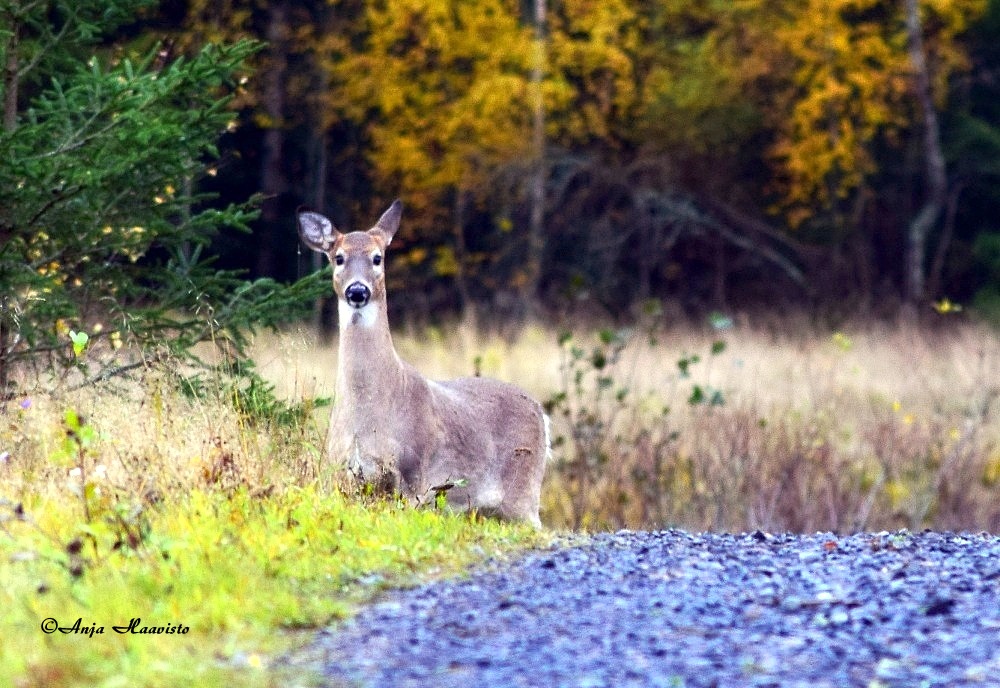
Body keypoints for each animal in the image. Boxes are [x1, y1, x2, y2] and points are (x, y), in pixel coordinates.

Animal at [297, 200, 548, 526]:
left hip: (523, 492)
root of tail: (541, 412)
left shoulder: (415, 473)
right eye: (338, 258)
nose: (357, 291)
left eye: (377, 258)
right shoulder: (342, 473)